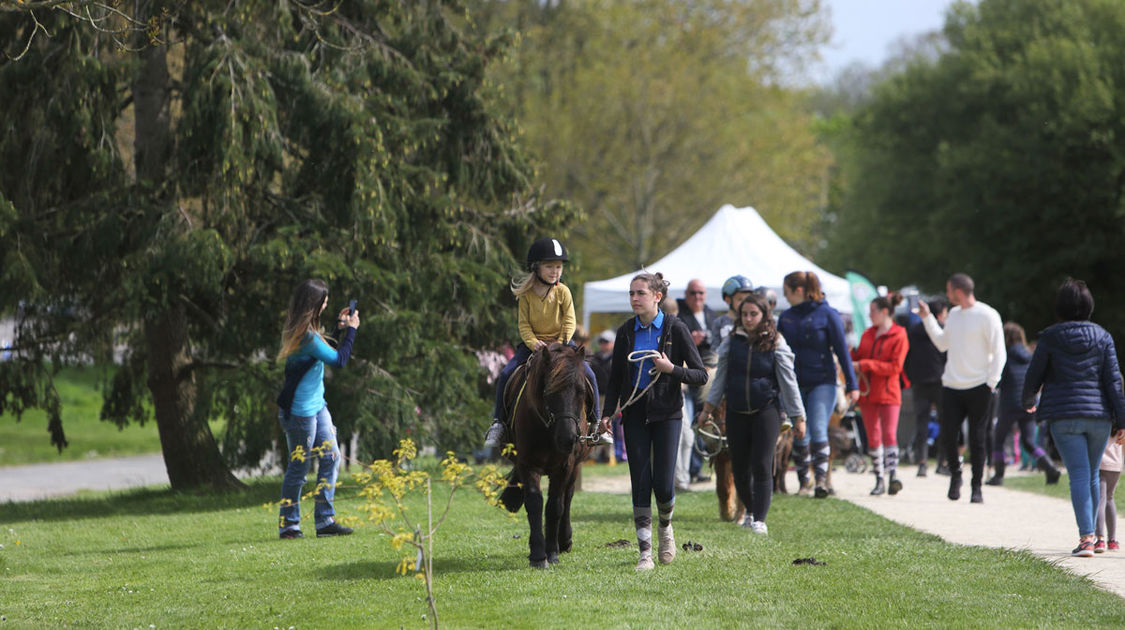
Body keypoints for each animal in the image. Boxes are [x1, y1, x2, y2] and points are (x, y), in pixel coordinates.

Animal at [497, 342, 594, 569]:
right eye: (549, 392)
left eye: (581, 391)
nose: (568, 438)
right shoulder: (527, 465)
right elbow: (534, 502)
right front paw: (538, 554)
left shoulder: (565, 467)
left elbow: (555, 506)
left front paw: (552, 552)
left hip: (576, 466)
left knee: (568, 496)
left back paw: (564, 540)